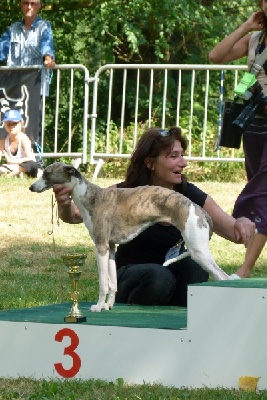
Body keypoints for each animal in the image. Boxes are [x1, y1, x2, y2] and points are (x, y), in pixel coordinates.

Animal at [29, 162, 230, 312]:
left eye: (47, 173)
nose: (31, 187)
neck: (91, 197)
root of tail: (200, 210)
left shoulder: (101, 246)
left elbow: (103, 283)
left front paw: (98, 306)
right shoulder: (110, 248)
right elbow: (113, 283)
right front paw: (108, 306)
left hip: (198, 251)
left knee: (224, 277)